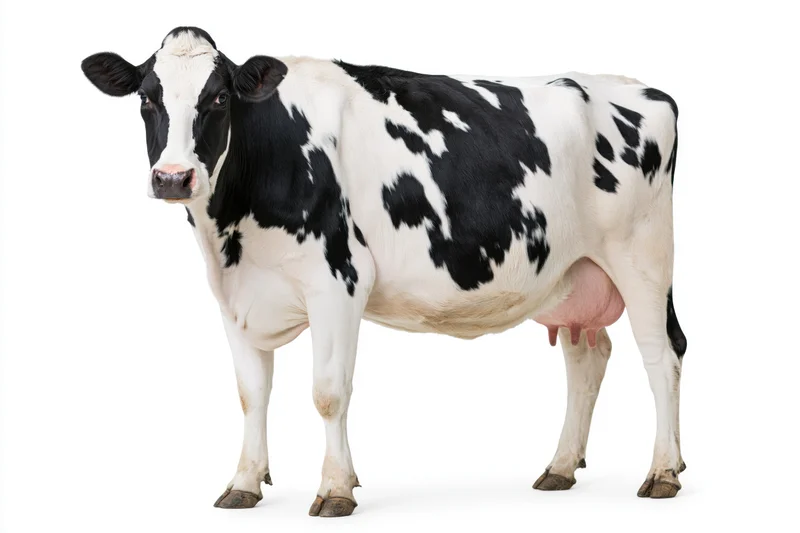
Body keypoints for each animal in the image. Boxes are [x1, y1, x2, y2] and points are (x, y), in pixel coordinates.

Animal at [81, 26, 687, 516]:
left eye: (219, 97)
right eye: (147, 97)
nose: (172, 177)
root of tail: (643, 90)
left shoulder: (337, 281)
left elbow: (328, 391)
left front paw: (334, 490)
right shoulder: (236, 296)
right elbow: (251, 394)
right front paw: (244, 484)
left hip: (643, 258)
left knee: (663, 356)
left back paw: (663, 471)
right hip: (573, 273)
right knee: (588, 359)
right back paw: (561, 466)